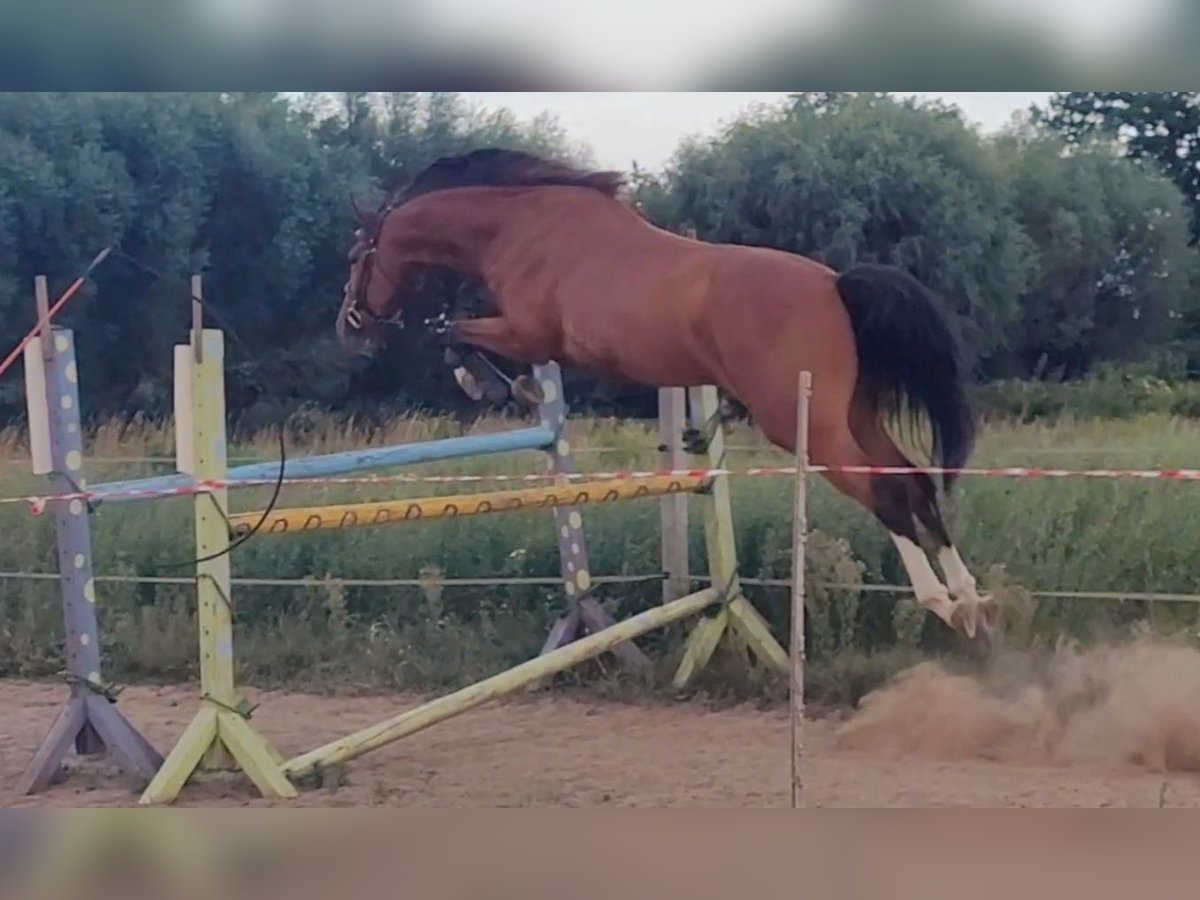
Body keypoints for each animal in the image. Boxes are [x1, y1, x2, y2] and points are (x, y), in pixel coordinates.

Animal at [336, 146, 993, 643]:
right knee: (913, 479)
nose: (350, 326)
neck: (518, 226)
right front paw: (508, 385)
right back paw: (968, 599)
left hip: (806, 425)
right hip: (853, 415)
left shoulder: (527, 331)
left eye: (355, 256)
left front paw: (490, 383)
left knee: (885, 491)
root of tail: (836, 284)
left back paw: (939, 600)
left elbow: (450, 332)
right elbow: (456, 331)